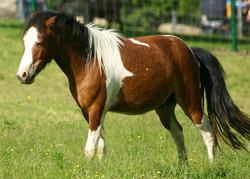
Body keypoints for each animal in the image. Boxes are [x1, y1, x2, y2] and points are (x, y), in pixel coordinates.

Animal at [16, 11, 249, 162]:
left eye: (40, 42)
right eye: (24, 43)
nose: (22, 75)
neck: (91, 61)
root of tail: (189, 49)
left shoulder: (96, 110)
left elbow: (90, 149)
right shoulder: (91, 113)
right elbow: (100, 147)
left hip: (190, 103)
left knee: (208, 132)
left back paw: (212, 166)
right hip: (165, 107)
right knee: (178, 133)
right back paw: (183, 167)